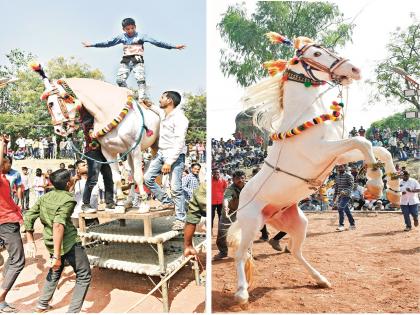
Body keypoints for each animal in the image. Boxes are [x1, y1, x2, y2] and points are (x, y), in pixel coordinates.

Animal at [30, 62, 160, 206]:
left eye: (51, 104)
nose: (58, 130)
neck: (110, 112)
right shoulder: (109, 151)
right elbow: (117, 177)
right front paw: (120, 202)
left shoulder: (135, 148)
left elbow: (138, 175)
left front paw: (144, 203)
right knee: (130, 174)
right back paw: (129, 200)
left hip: (152, 146)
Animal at [228, 33, 402, 304]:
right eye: (317, 54)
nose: (354, 70)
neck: (305, 119)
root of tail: (242, 200)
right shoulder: (322, 152)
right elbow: (362, 141)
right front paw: (374, 184)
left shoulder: (337, 155)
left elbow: (379, 149)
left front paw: (392, 191)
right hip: (250, 224)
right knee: (241, 255)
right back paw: (241, 293)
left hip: (297, 223)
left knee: (294, 251)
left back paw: (321, 279)